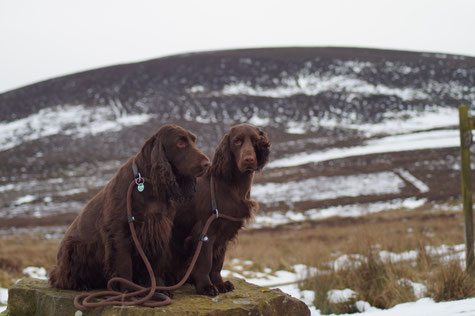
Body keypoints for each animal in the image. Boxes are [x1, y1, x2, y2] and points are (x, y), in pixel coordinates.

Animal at [49, 124, 210, 292]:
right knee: (58, 277)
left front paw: (158, 288)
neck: (149, 186)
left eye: (193, 141)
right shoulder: (120, 232)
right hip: (75, 250)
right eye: (180, 143)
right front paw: (129, 291)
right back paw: (81, 284)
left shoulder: (159, 228)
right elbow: (124, 265)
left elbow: (155, 266)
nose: (207, 164)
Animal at [169, 123, 270, 296]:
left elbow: (217, 264)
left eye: (256, 141)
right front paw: (206, 287)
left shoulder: (224, 233)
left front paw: (220, 284)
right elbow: (205, 262)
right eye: (237, 141)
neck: (232, 185)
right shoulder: (205, 232)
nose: (249, 160)